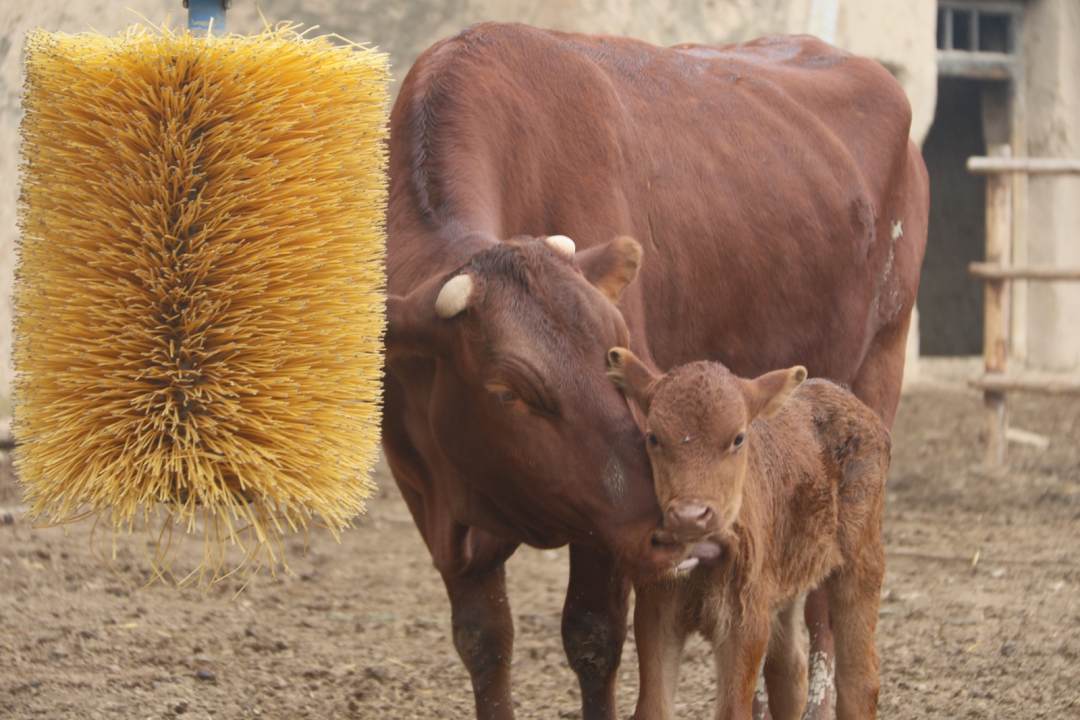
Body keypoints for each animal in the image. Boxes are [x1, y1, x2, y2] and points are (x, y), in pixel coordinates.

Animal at [605, 348, 890, 720]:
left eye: (738, 438)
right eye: (653, 437)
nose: (690, 515)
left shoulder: (746, 620)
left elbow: (733, 710)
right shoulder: (657, 609)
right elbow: (653, 707)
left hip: (862, 560)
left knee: (859, 680)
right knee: (788, 671)